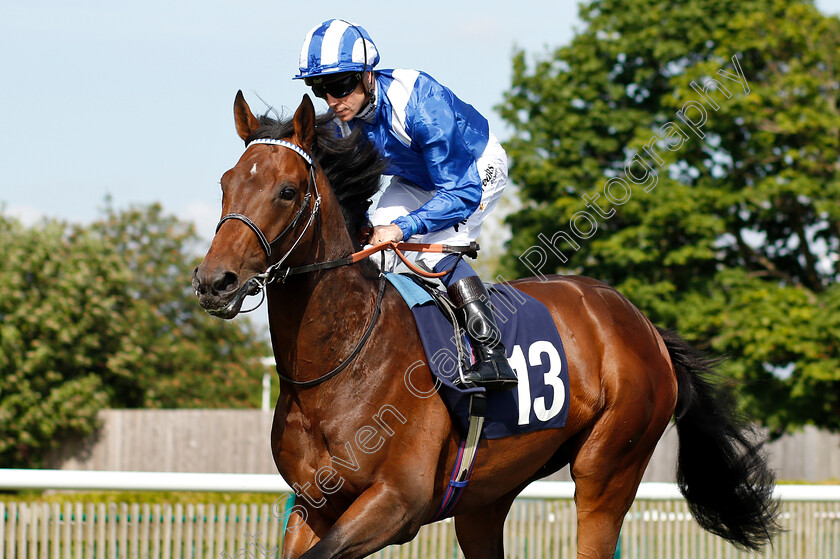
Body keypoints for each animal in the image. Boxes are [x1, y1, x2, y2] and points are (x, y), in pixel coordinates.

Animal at [194, 94, 776, 556]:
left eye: (288, 191)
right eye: (225, 183)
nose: (215, 280)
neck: (341, 363)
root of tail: (644, 325)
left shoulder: (394, 503)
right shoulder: (314, 505)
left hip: (607, 470)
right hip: (487, 496)